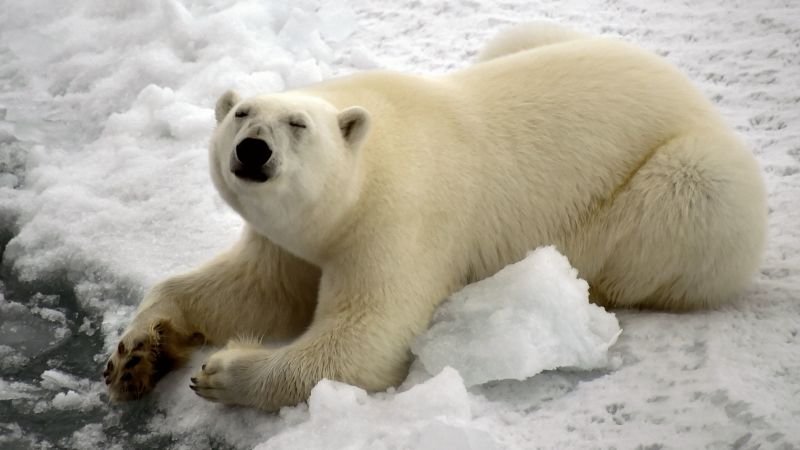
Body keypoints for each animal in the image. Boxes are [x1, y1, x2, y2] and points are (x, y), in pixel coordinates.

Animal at [103, 23, 766, 411]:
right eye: (241, 113)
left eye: (298, 124)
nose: (252, 151)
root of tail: (693, 91)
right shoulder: (291, 239)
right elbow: (252, 289)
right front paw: (135, 353)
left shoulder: (399, 220)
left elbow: (362, 341)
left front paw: (221, 372)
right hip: (537, 37)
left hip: (690, 181)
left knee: (685, 204)